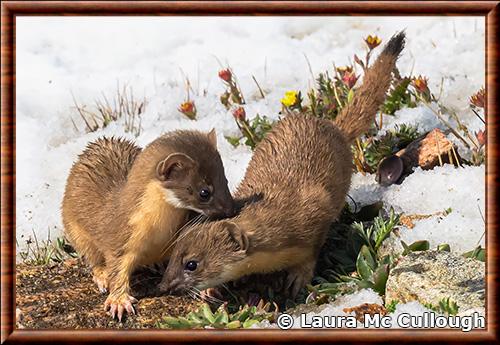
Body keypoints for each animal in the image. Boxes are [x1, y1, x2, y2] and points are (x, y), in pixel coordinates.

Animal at [62, 129, 234, 320]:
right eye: (204, 192)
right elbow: (116, 267)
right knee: (92, 257)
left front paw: (209, 288)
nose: (231, 209)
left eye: (225, 180)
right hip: (75, 230)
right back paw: (102, 276)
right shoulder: (120, 238)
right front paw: (119, 301)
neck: (159, 234)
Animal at [160, 31, 406, 296]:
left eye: (192, 263)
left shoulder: (315, 216)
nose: (164, 285)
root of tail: (330, 125)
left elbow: (311, 254)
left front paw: (298, 278)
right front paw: (212, 290)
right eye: (171, 257)